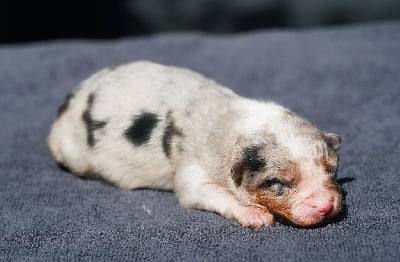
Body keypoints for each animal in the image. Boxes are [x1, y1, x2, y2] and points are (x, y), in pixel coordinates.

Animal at [48, 61, 342, 227]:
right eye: (277, 183)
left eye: (332, 169)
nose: (327, 206)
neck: (234, 125)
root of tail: (68, 102)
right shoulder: (193, 167)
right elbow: (199, 191)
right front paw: (254, 215)